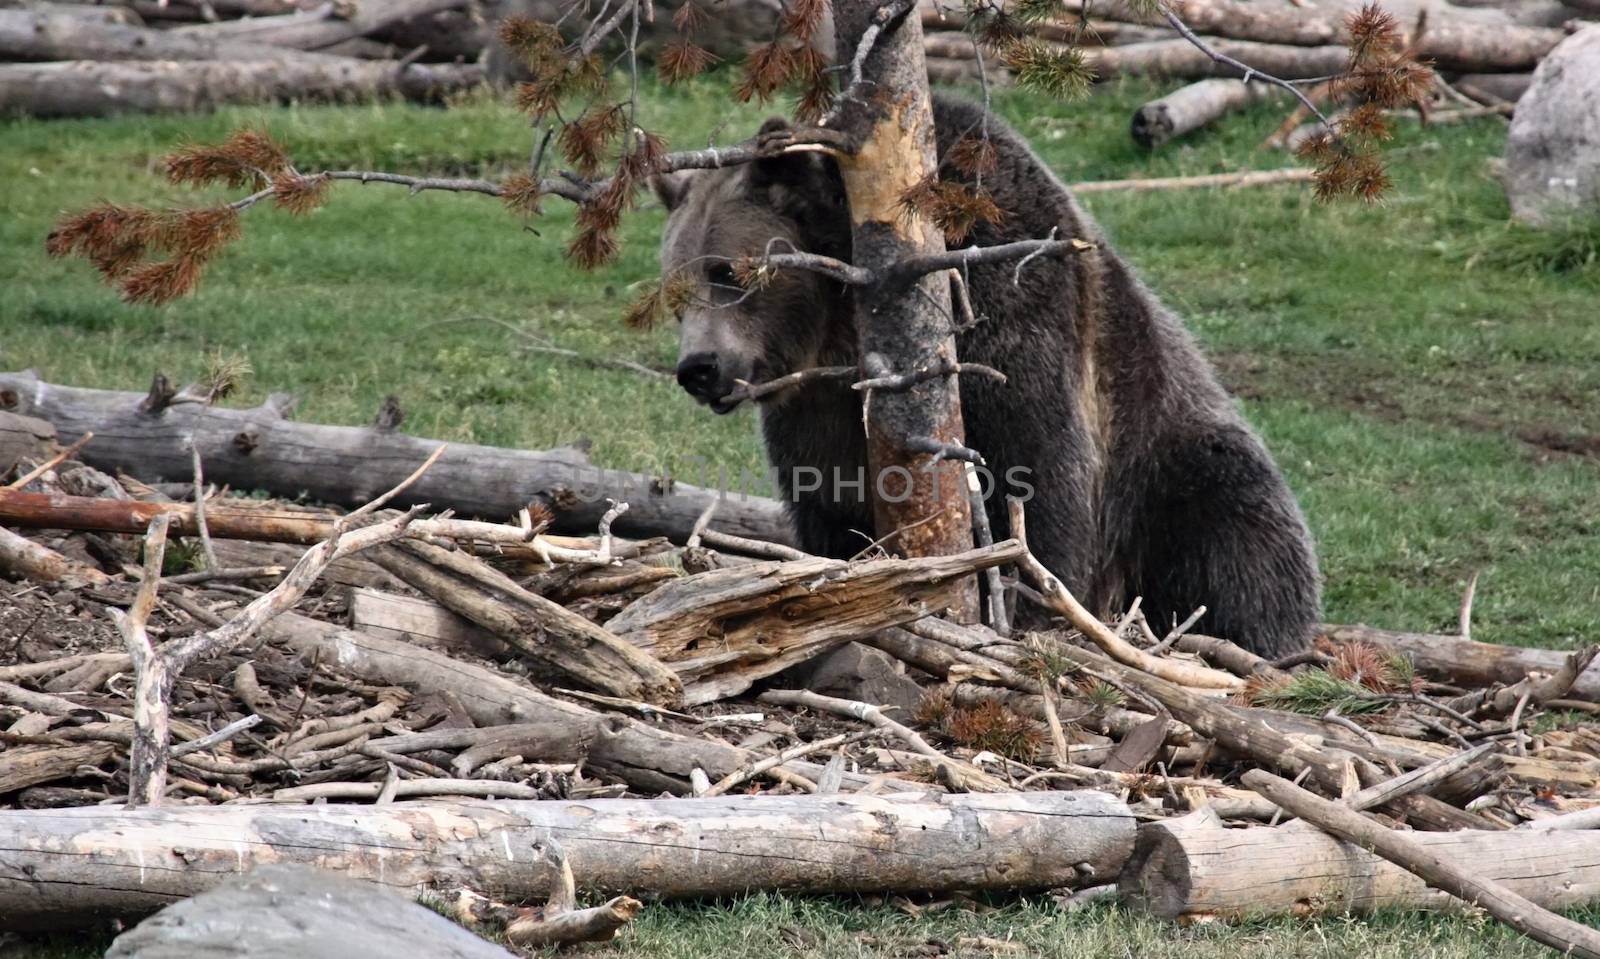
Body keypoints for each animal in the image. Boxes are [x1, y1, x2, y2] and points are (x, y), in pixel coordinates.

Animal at [656, 93, 1318, 656]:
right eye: (675, 290)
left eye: (728, 272)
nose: (700, 368)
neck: (846, 325)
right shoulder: (814, 404)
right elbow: (826, 498)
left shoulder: (1006, 308)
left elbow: (1033, 474)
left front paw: (1023, 601)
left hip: (1167, 454)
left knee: (1232, 529)